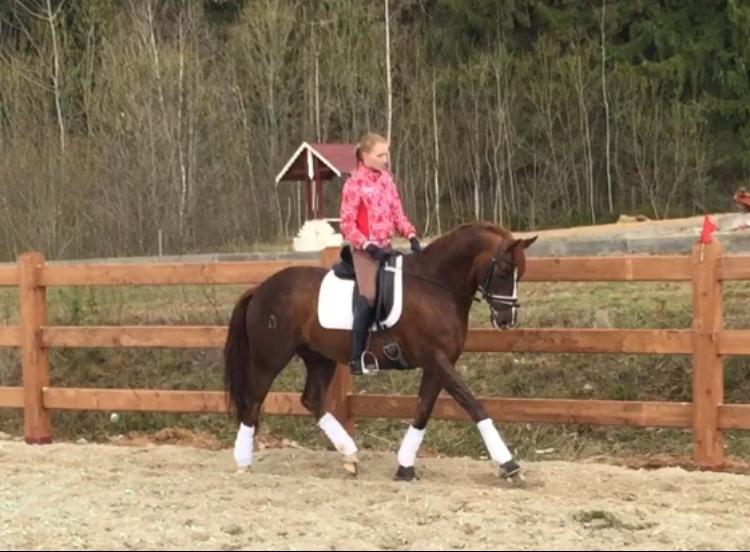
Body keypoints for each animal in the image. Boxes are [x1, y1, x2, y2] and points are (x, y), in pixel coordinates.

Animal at [223, 221, 537, 482]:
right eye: (504, 271)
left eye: (519, 273)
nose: (506, 320)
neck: (436, 287)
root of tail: (260, 288)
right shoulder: (436, 358)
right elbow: (473, 404)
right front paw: (508, 464)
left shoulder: (438, 362)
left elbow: (424, 409)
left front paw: (405, 466)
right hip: (269, 357)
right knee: (253, 400)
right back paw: (243, 462)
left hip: (319, 357)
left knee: (311, 399)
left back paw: (350, 455)